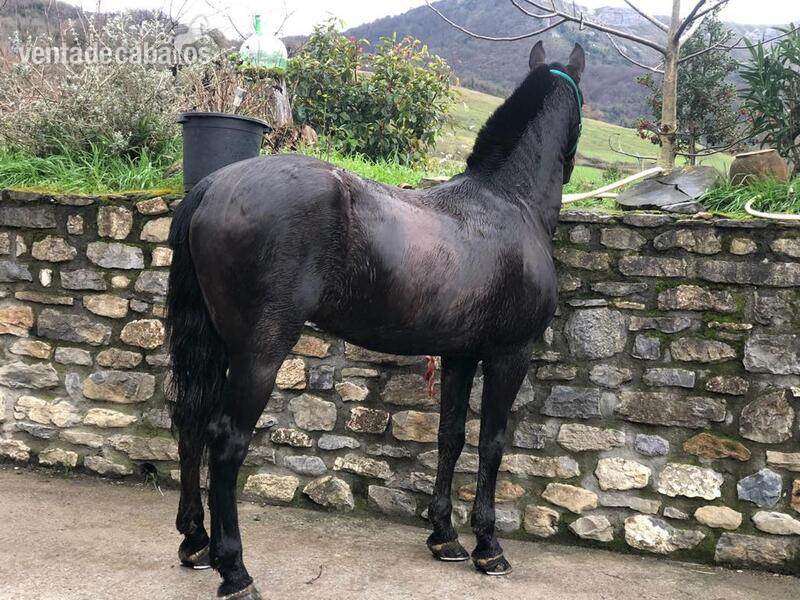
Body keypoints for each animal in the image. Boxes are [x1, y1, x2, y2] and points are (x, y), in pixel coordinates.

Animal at [166, 40, 586, 600]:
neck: (507, 202)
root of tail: (211, 186)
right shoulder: (508, 355)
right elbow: (492, 444)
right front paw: (488, 547)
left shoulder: (459, 355)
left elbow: (451, 437)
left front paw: (444, 537)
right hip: (259, 354)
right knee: (226, 440)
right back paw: (233, 570)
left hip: (211, 344)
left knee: (190, 422)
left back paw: (195, 543)